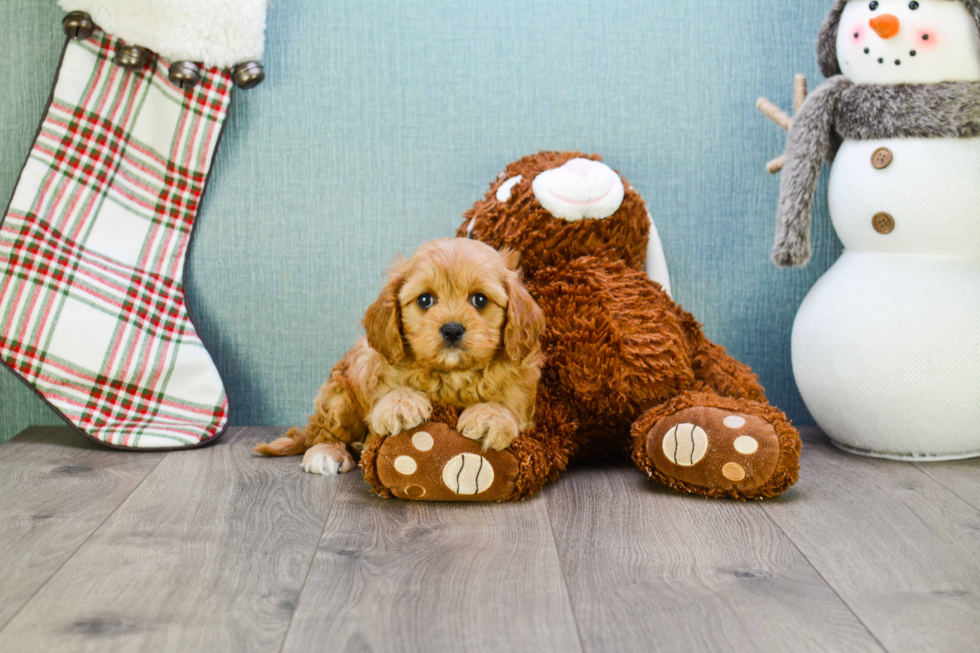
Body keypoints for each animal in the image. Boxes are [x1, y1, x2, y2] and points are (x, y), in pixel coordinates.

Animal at [253, 237, 544, 476]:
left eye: (480, 300)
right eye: (425, 300)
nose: (452, 329)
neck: (452, 374)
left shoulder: (521, 395)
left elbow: (508, 405)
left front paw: (490, 416)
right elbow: (391, 393)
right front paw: (401, 403)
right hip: (340, 397)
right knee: (324, 428)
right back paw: (326, 451)